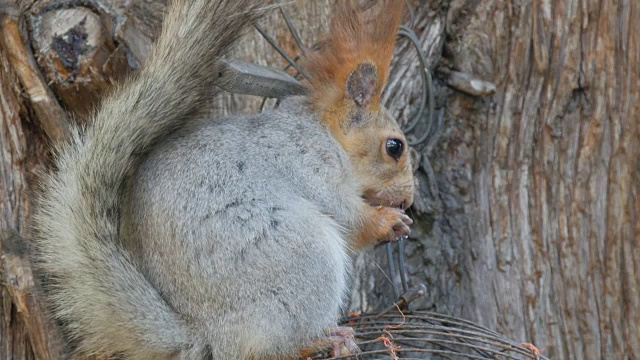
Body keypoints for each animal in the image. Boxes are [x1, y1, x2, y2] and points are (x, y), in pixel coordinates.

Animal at [31, 0, 416, 358]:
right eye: (394, 146)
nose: (409, 199)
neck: (326, 134)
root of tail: (206, 336)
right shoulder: (308, 162)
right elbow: (347, 217)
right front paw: (388, 222)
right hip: (301, 256)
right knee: (267, 349)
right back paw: (323, 339)